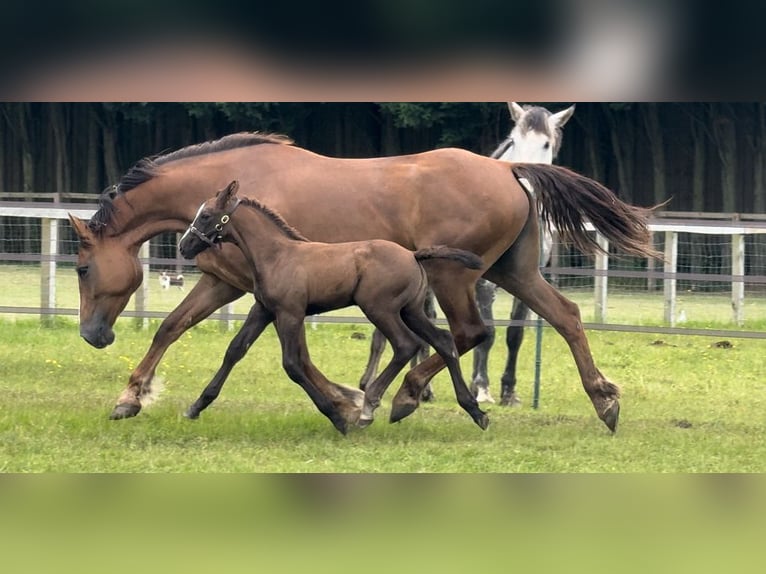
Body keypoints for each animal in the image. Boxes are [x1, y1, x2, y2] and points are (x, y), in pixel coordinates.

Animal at [178, 181, 488, 432]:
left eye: (206, 215)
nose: (183, 246)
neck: (276, 255)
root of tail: (413, 255)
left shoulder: (290, 313)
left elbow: (292, 364)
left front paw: (338, 418)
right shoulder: (263, 310)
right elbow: (234, 351)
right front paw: (195, 407)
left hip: (380, 309)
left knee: (405, 344)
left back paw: (369, 407)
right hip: (410, 310)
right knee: (444, 341)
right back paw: (474, 411)